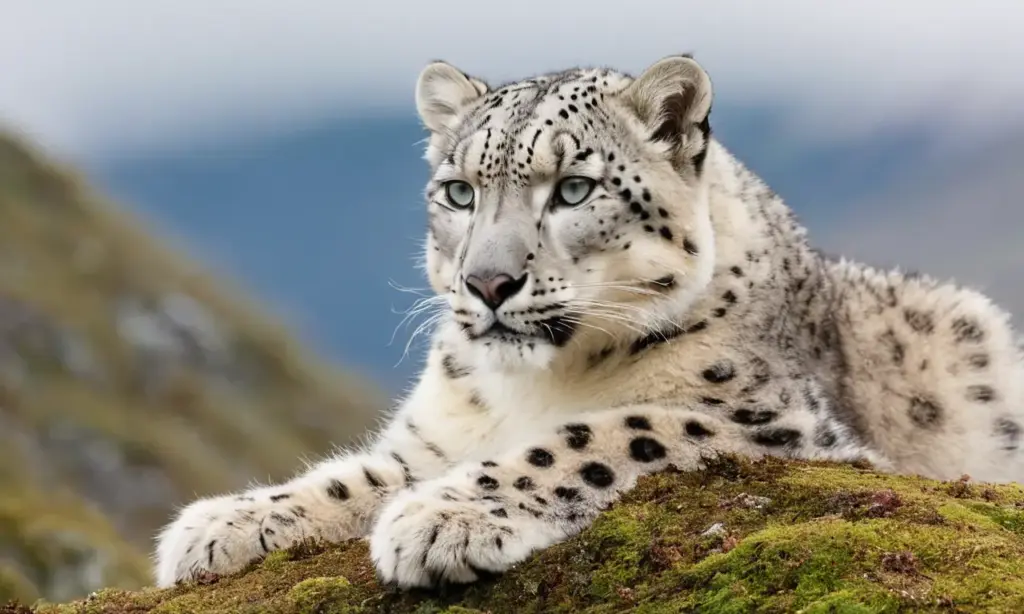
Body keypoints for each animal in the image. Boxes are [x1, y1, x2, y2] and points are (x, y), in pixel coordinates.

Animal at [153, 54, 1024, 590]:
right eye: (459, 191)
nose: (488, 282)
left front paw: (443, 518)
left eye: (573, 187)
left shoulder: (776, 424)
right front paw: (220, 523)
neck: (531, 386)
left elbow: (596, 435)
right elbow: (361, 474)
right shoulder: (433, 438)